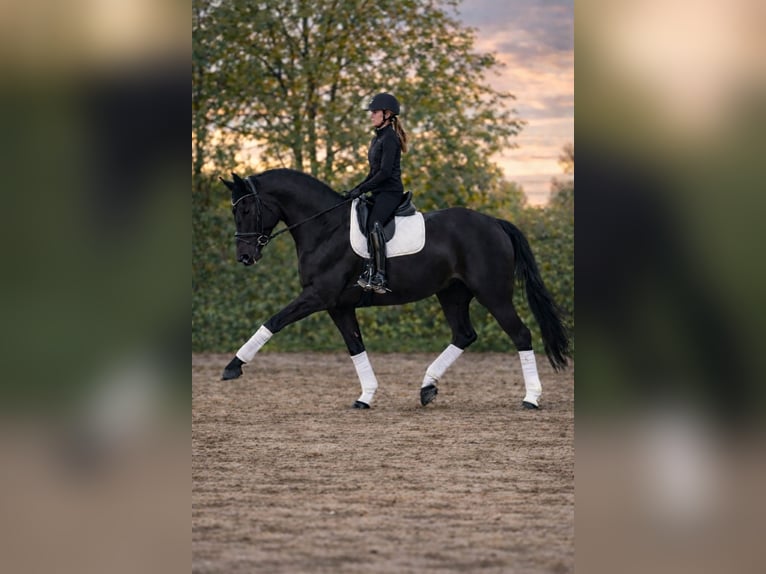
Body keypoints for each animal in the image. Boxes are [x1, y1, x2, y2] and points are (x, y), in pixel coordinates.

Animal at [219, 169, 569, 409]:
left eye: (246, 210)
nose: (245, 257)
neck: (325, 228)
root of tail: (495, 223)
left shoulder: (318, 296)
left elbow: (274, 321)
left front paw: (232, 367)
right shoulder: (339, 305)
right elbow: (355, 346)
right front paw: (366, 396)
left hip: (493, 294)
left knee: (521, 334)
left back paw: (531, 398)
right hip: (452, 293)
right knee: (464, 334)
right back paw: (427, 388)